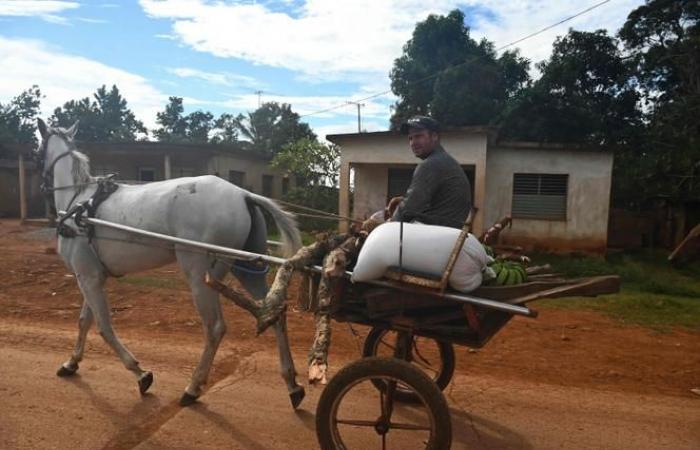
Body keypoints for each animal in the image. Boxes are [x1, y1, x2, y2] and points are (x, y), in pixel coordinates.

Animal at [33, 119, 304, 408]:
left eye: (37, 152)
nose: (41, 188)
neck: (79, 202)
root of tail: (242, 194)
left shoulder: (87, 277)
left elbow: (104, 327)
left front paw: (140, 373)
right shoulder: (92, 276)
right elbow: (84, 321)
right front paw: (71, 363)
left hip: (200, 274)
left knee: (215, 328)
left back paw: (193, 387)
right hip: (247, 269)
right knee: (274, 313)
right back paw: (292, 384)